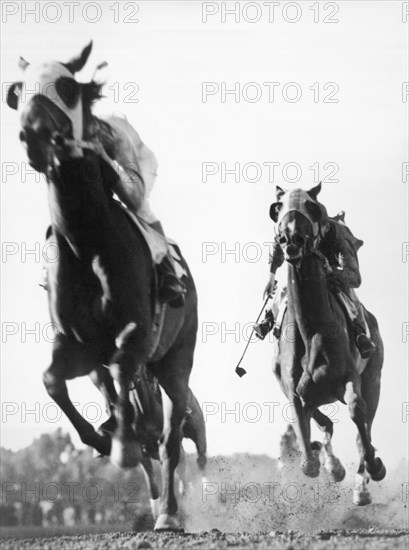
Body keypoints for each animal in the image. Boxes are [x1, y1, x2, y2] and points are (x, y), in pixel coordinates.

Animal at [6, 43, 202, 532]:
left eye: (67, 87)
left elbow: (122, 368)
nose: (35, 135)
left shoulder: (136, 333)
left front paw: (125, 444)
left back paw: (168, 513)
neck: (86, 239)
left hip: (177, 360)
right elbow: (53, 380)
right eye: (18, 93)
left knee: (172, 436)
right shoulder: (75, 343)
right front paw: (102, 437)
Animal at [270, 187, 384, 508]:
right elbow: (309, 460)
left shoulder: (350, 378)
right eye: (277, 207)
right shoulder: (295, 393)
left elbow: (357, 413)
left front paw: (373, 468)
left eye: (312, 206)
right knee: (324, 425)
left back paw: (362, 485)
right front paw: (331, 467)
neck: (312, 334)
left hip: (374, 378)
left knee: (362, 425)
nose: (291, 238)